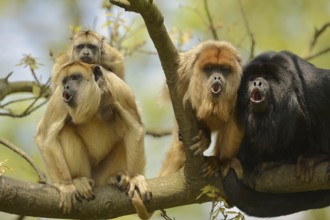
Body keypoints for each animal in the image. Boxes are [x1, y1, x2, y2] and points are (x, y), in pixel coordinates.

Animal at [35, 62, 151, 218]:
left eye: (75, 78)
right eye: (65, 81)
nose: (66, 87)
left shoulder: (119, 89)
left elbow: (135, 127)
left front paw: (135, 177)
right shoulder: (59, 99)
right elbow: (44, 136)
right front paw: (65, 185)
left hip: (101, 175)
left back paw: (117, 177)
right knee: (64, 131)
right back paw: (78, 180)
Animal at [159, 40, 244, 179]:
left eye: (224, 70)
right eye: (209, 68)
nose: (217, 77)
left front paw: (223, 161)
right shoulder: (182, 76)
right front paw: (204, 135)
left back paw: (221, 161)